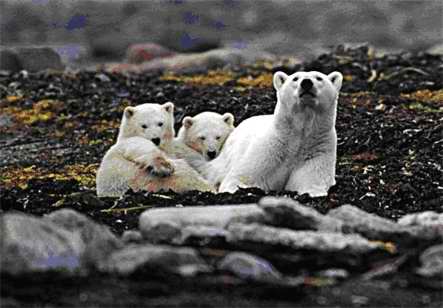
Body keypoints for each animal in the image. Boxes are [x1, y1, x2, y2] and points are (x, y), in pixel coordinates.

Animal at [197, 70, 344, 196]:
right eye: (295, 78)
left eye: (319, 78)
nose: (306, 82)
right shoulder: (271, 148)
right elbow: (242, 176)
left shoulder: (317, 148)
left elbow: (311, 180)